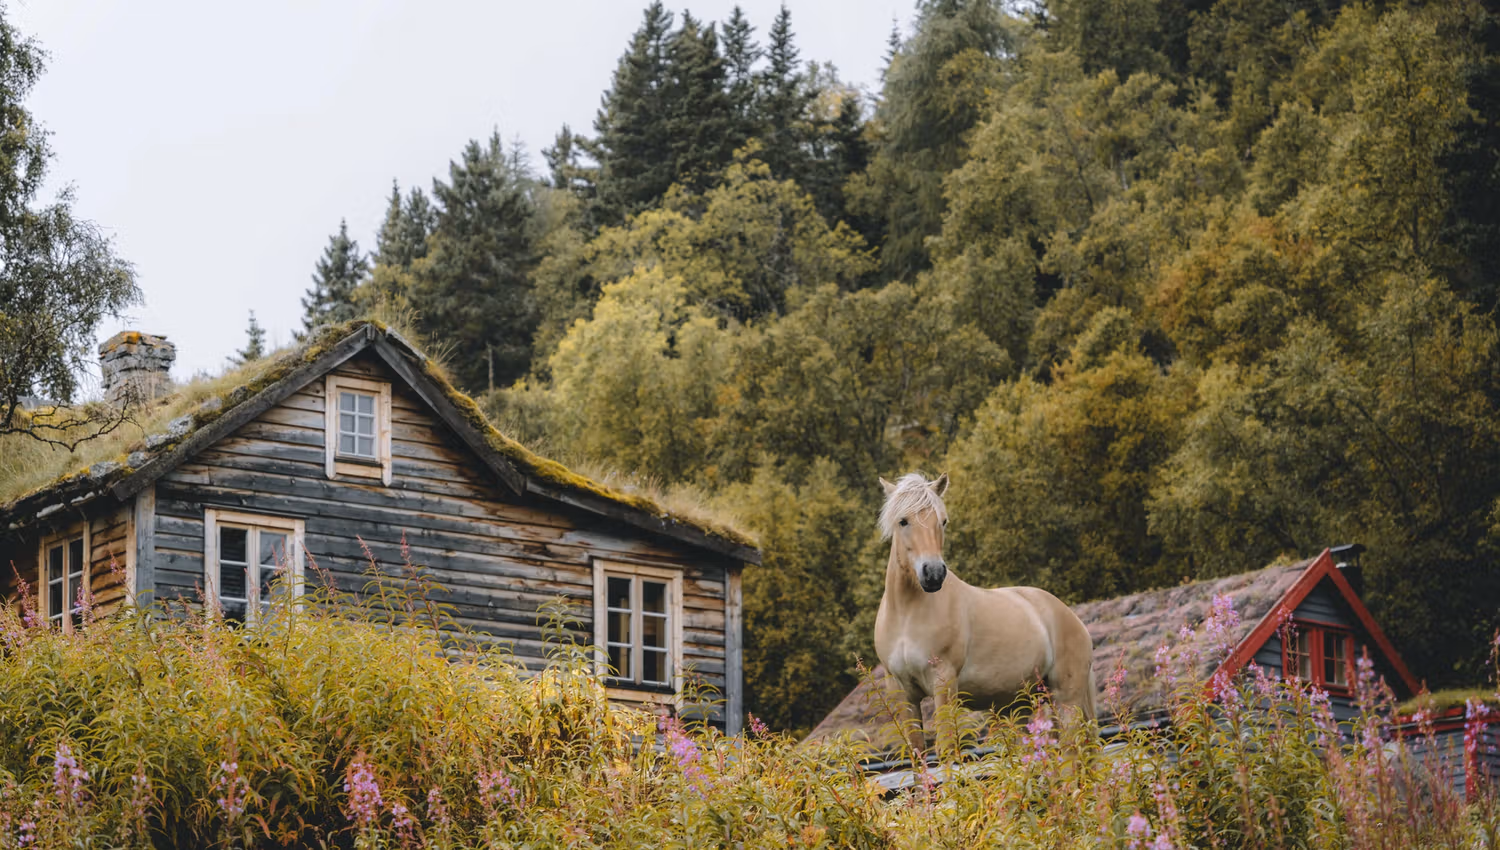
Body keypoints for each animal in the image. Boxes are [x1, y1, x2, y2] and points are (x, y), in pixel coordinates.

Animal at [873, 472, 1096, 754]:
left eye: (942, 521)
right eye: (903, 521)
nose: (933, 573)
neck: (906, 615)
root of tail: (1072, 618)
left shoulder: (944, 684)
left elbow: (947, 752)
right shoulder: (902, 693)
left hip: (1066, 699)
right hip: (1022, 704)